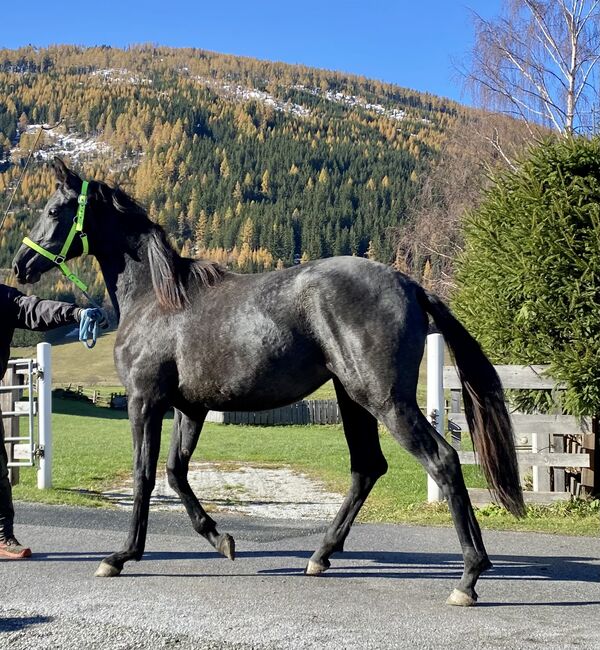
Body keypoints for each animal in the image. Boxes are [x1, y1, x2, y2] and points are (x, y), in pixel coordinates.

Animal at [11, 157, 524, 604]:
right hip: (353, 398)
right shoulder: (190, 408)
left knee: (443, 461)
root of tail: (410, 284)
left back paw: (469, 577)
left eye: (54, 210)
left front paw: (121, 556)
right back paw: (321, 556)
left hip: (384, 399)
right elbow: (176, 473)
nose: (20, 265)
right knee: (367, 467)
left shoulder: (145, 400)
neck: (156, 300)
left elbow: (145, 474)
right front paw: (221, 539)